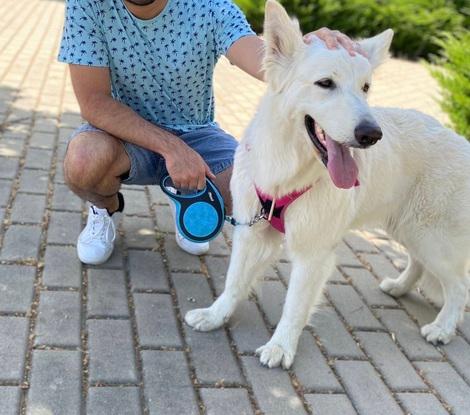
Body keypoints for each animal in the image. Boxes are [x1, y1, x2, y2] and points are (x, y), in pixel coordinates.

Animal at [185, 0, 470, 370]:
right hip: (409, 230)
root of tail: (462, 141)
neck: (287, 168)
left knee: (459, 286)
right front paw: (214, 316)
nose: (372, 135)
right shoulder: (251, 233)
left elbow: (294, 306)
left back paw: (443, 328)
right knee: (420, 265)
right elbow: (234, 282)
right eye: (325, 83)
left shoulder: (312, 254)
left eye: (366, 88)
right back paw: (399, 287)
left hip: (432, 238)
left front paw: (281, 347)